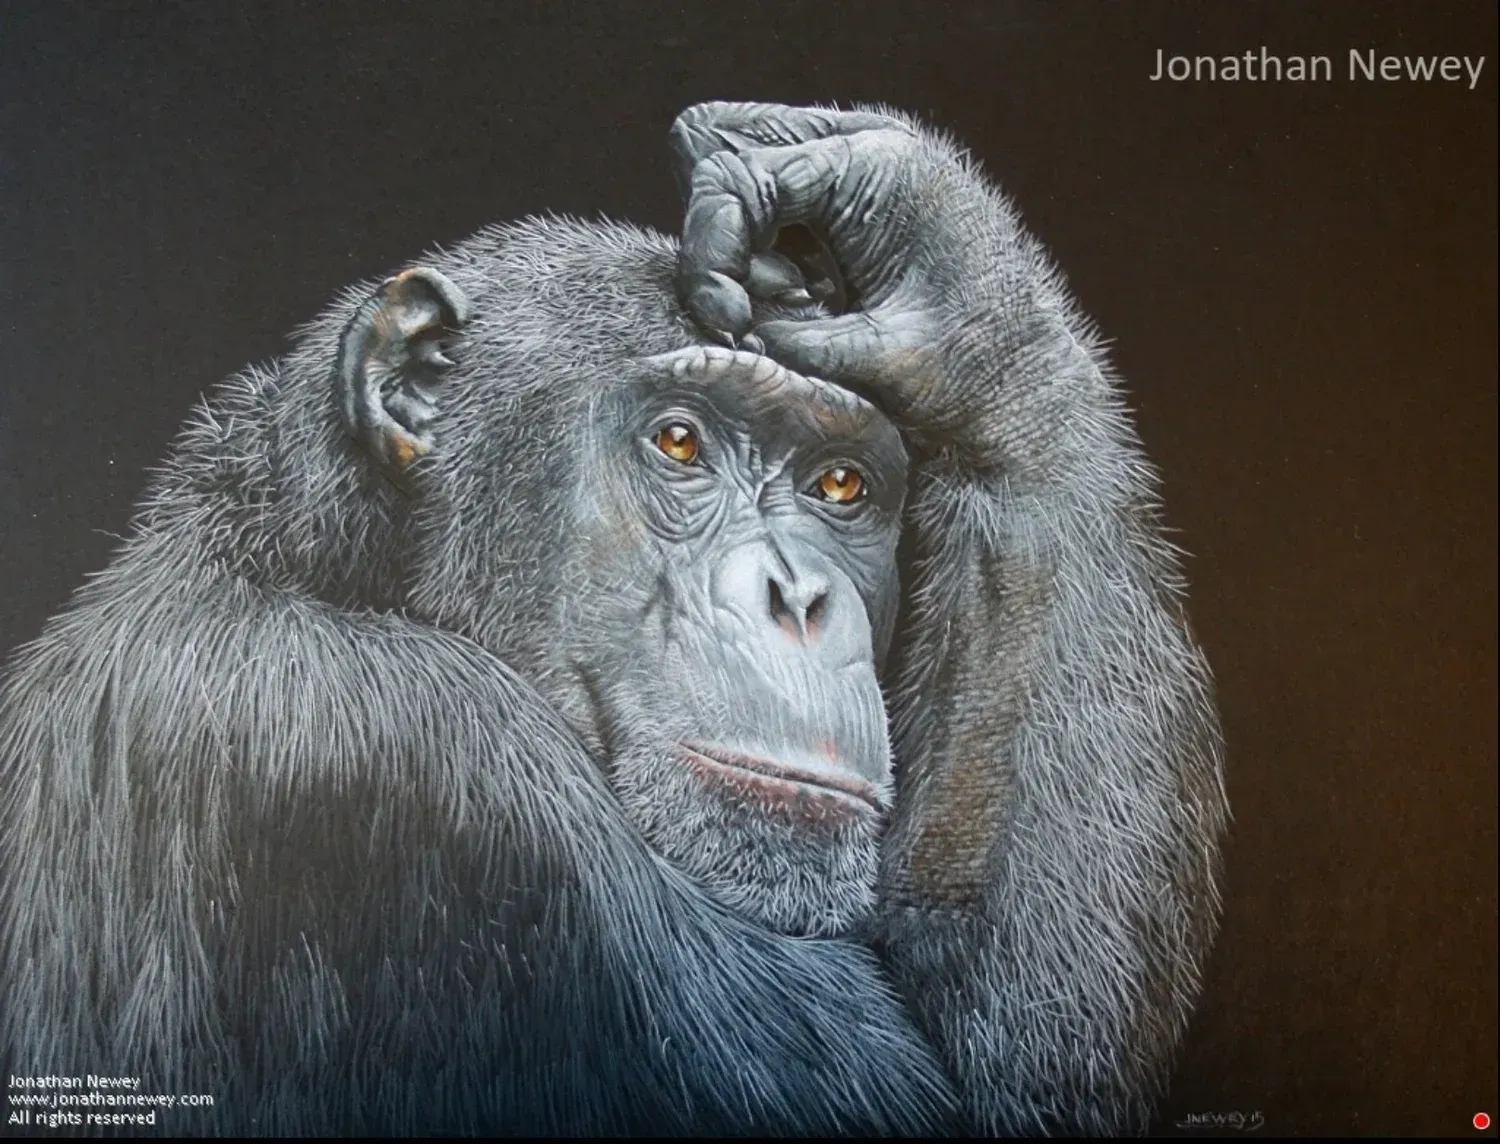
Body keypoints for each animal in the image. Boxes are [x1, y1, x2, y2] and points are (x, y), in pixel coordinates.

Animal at [0, 102, 1227, 1136]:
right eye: (680, 441)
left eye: (839, 484)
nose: (798, 594)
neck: (311, 564)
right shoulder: (428, 767)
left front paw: (926, 248)